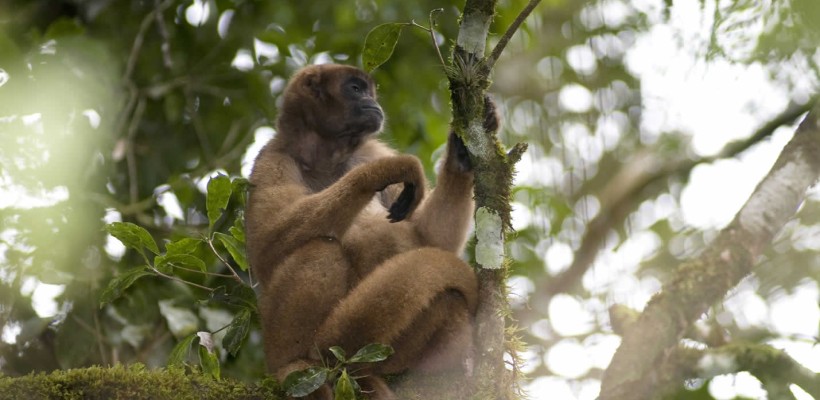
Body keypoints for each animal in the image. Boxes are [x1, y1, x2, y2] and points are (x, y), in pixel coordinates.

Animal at [247, 64, 496, 398]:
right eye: (355, 89)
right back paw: (297, 363)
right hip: (274, 342)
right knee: (320, 249)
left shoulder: (369, 150)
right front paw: (381, 173)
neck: (326, 154)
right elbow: (264, 248)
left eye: (370, 91)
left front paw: (461, 154)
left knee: (447, 297)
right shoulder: (273, 155)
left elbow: (432, 239)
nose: (373, 103)